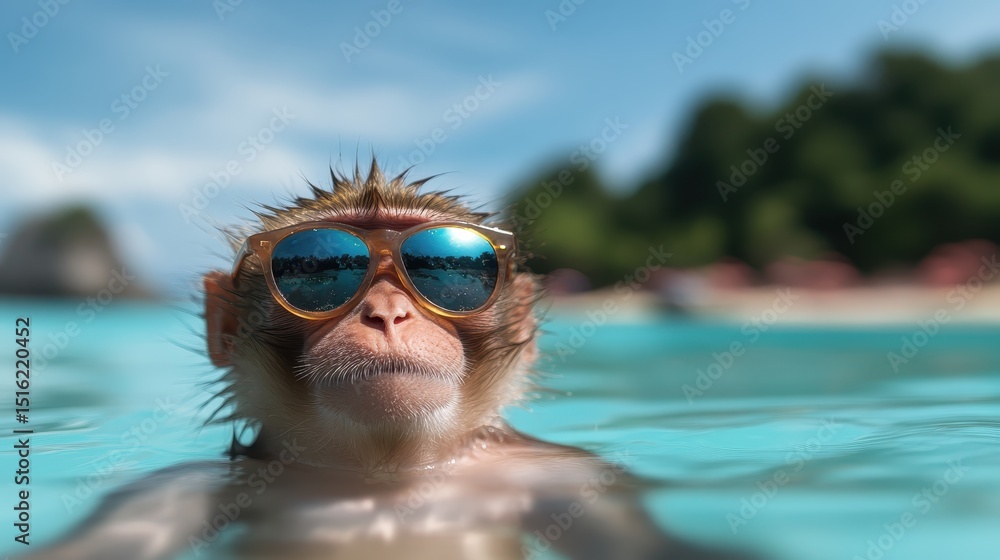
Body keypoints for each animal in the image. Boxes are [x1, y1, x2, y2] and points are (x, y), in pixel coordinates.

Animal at [13, 160, 755, 560]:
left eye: (447, 265)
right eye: (315, 265)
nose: (387, 312)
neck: (384, 478)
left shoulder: (578, 476)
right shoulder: (171, 491)